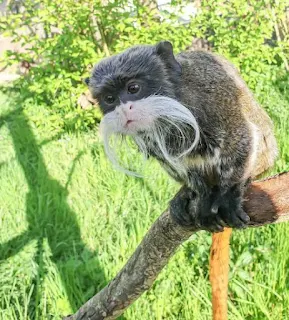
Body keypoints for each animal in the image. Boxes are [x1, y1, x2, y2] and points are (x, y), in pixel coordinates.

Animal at [83, 42, 276, 318]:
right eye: (110, 99)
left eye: (133, 89)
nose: (124, 109)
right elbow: (181, 162)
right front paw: (200, 194)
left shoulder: (212, 91)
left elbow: (239, 132)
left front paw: (229, 193)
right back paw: (187, 194)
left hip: (265, 157)